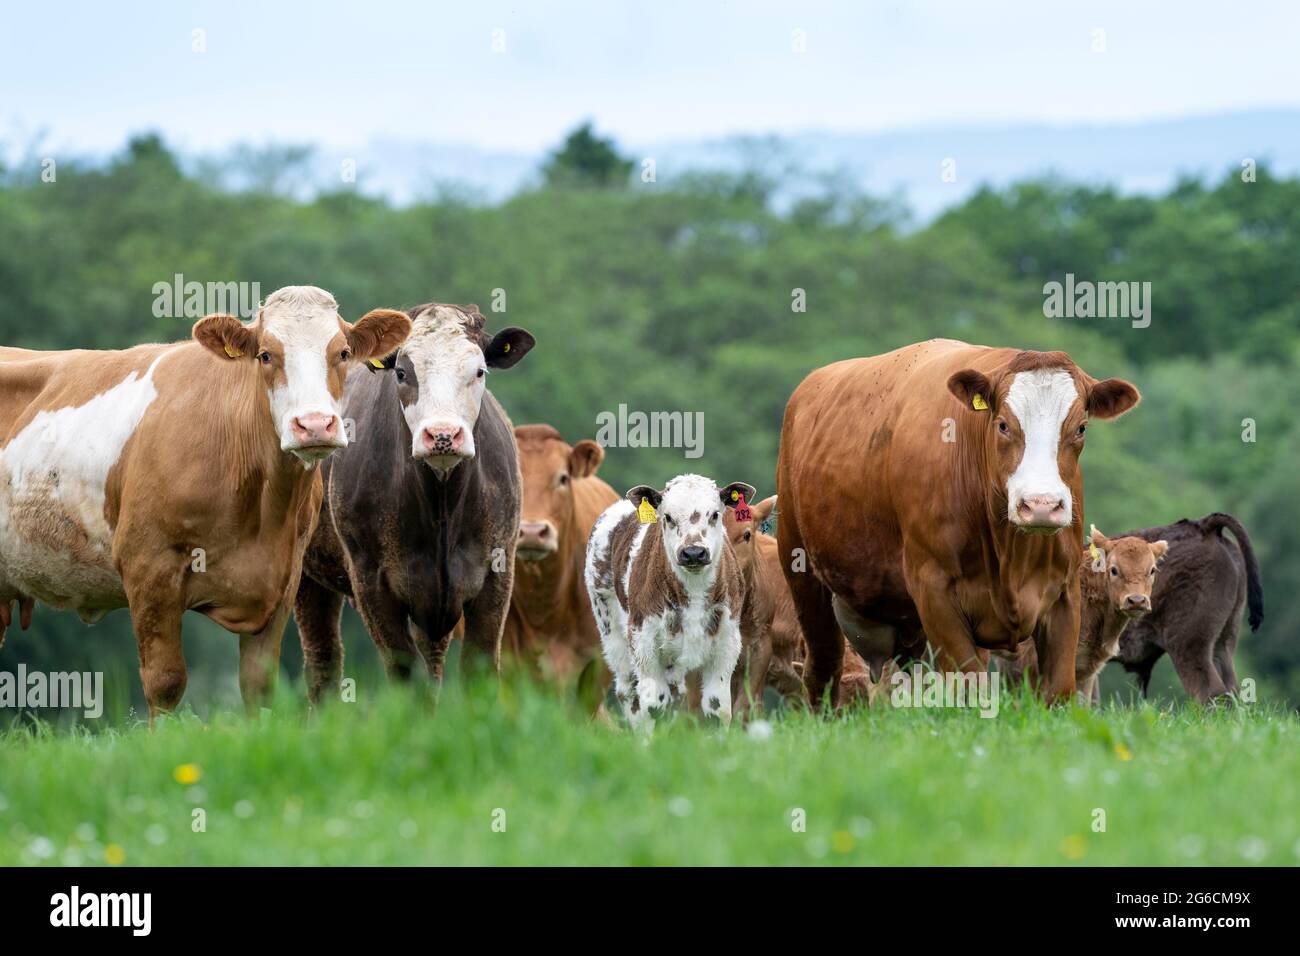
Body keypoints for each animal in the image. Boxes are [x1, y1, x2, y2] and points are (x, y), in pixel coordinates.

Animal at [295, 300, 533, 697]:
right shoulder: (370, 579)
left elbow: (478, 667)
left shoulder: (497, 571)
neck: (442, 504)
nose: (442, 435)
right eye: (403, 373)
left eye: (480, 371)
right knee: (322, 658)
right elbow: (407, 672)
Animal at [769, 340, 1138, 707]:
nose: (1041, 506)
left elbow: (1059, 690)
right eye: (1003, 425)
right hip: (803, 573)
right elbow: (969, 688)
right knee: (823, 670)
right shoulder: (934, 591)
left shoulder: (1063, 593)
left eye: (1080, 428)